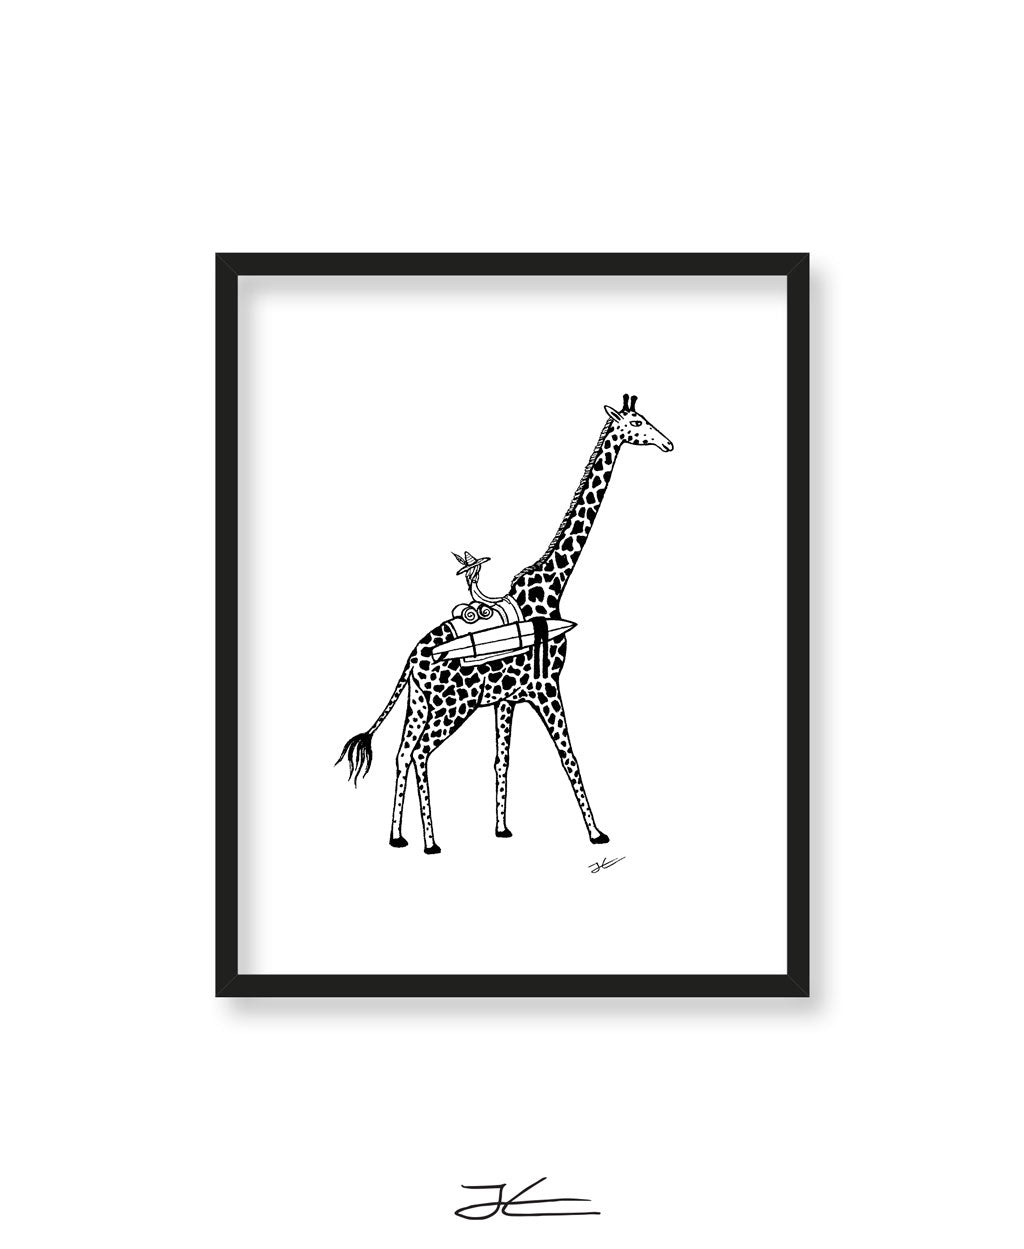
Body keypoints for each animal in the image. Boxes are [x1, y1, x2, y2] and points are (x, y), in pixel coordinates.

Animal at [336, 394, 674, 854]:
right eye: (637, 423)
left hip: (419, 704)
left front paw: (502, 828)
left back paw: (397, 837)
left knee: (403, 753)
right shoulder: (547, 687)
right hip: (451, 707)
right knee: (422, 754)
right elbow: (569, 757)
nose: (668, 443)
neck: (552, 585)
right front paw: (597, 834)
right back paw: (431, 843)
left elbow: (502, 760)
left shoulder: (506, 699)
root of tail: (412, 659)